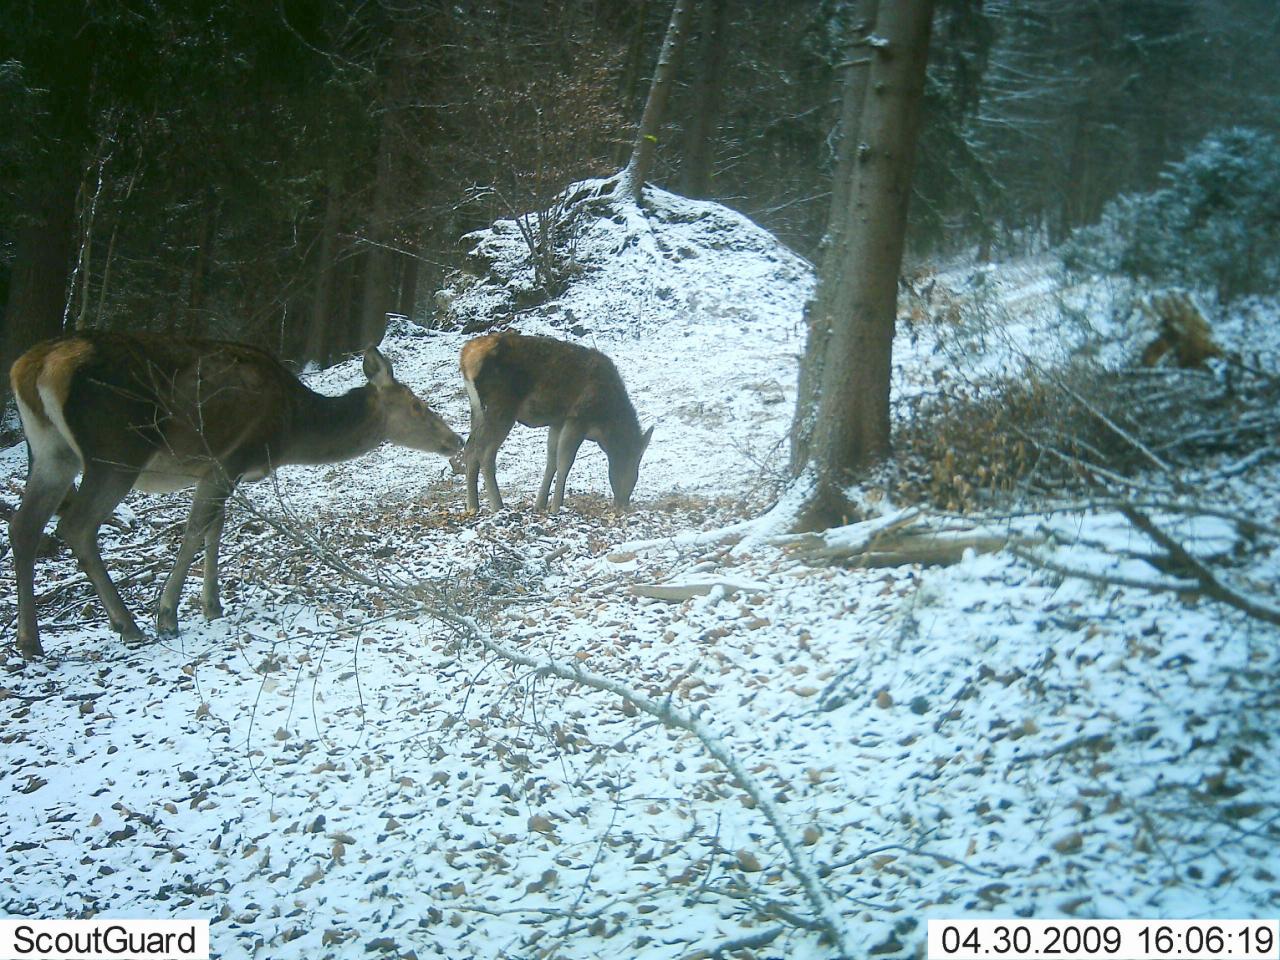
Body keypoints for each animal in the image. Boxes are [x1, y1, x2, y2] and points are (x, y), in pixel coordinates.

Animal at [8, 331, 463, 659]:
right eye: (419, 405)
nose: (456, 439)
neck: (291, 428)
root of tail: (33, 367)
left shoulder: (220, 469)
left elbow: (215, 527)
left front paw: (211, 604)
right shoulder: (231, 457)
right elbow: (196, 528)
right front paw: (167, 614)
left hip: (52, 453)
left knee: (23, 526)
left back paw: (30, 642)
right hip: (116, 449)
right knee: (76, 525)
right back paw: (128, 624)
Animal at [452, 332, 653, 515]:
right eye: (634, 467)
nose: (623, 503)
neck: (605, 424)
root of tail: (466, 358)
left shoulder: (557, 421)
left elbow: (551, 461)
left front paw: (540, 505)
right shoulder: (577, 418)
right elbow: (565, 462)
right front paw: (556, 507)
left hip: (477, 408)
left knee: (470, 448)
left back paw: (473, 506)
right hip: (501, 406)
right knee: (485, 452)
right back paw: (497, 505)